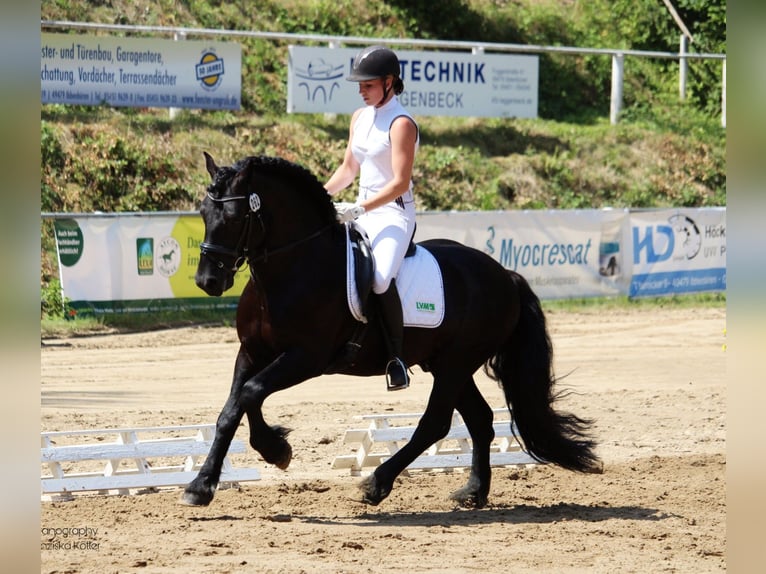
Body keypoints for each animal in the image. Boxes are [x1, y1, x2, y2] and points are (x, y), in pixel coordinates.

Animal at [183, 153, 604, 508]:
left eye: (234, 215)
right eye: (202, 211)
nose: (208, 281)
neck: (294, 267)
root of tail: (505, 274)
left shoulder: (307, 358)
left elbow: (251, 393)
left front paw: (274, 450)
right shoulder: (253, 351)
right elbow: (233, 408)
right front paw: (202, 485)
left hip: (455, 363)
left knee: (436, 422)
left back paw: (377, 483)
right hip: (447, 364)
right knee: (480, 419)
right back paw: (473, 491)